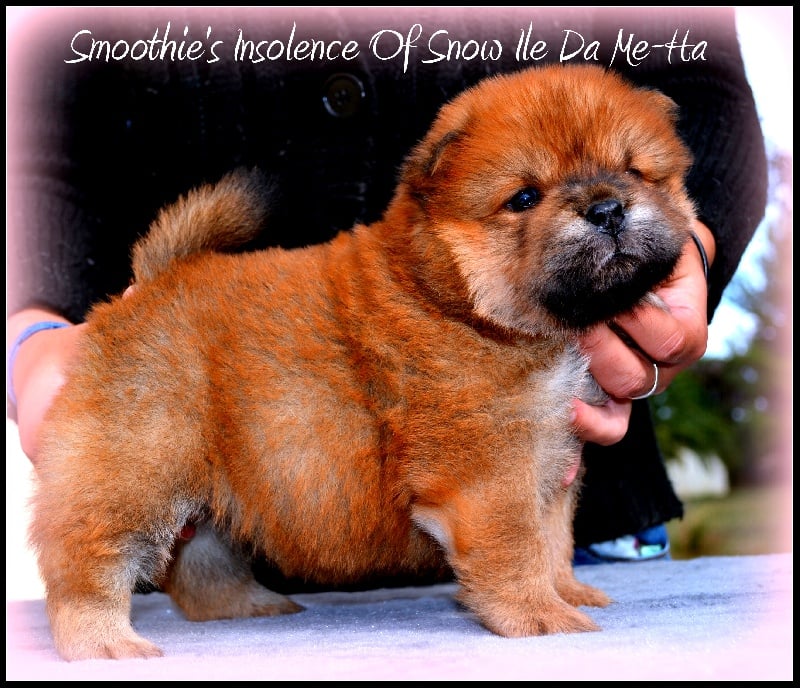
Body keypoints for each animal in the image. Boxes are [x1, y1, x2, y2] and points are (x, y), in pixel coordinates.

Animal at [29, 64, 695, 660]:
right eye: (525, 197)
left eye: (633, 170)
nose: (606, 208)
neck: (457, 299)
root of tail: (151, 283)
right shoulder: (487, 467)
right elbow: (514, 547)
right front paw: (540, 617)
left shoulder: (553, 460)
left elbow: (553, 538)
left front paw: (568, 593)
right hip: (138, 468)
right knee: (86, 560)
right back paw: (104, 642)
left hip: (213, 489)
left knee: (199, 566)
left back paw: (251, 606)